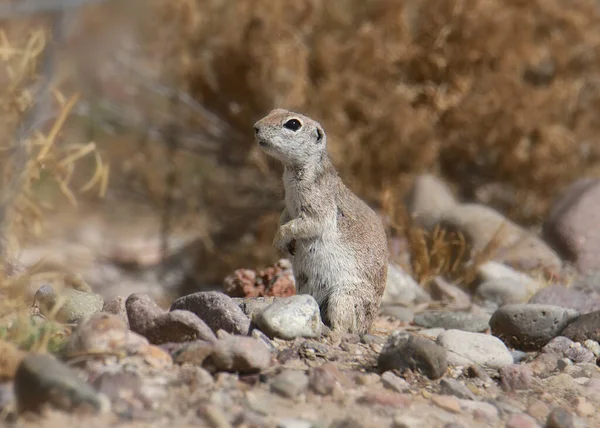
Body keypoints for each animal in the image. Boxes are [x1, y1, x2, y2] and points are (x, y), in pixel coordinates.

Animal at [253, 108, 390, 334]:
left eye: (293, 124)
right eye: (274, 111)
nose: (255, 127)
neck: (292, 171)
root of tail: (368, 327)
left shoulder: (318, 204)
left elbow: (309, 223)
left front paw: (279, 239)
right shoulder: (288, 207)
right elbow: (284, 218)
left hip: (342, 297)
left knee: (345, 327)